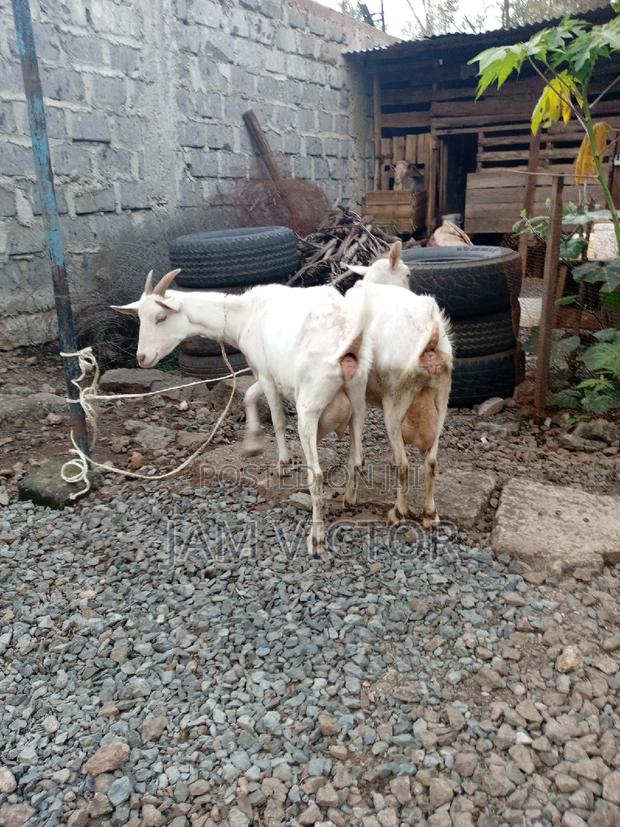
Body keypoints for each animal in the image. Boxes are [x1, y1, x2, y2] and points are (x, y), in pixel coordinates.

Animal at [111, 269, 370, 555]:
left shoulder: (267, 374)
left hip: (310, 405)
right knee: (356, 459)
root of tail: (346, 342)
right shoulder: (263, 375)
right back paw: (349, 499)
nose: (142, 358)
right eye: (140, 317)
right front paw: (252, 445)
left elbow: (278, 420)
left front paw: (282, 464)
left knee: (318, 474)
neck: (244, 313)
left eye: (161, 317)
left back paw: (316, 539)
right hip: (359, 398)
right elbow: (248, 396)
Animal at [348, 242, 452, 526]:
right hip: (442, 398)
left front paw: (350, 495)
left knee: (402, 463)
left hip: (395, 401)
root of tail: (430, 337)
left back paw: (400, 512)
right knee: (432, 462)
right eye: (407, 274)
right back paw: (430, 513)